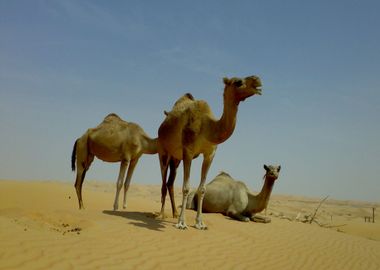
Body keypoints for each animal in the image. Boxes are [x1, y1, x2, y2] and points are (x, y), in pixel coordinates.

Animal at [157, 76, 262, 230]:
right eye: (238, 82)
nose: (258, 81)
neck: (207, 127)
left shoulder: (210, 154)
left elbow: (202, 189)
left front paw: (200, 223)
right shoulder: (188, 150)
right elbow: (186, 187)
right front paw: (182, 223)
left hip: (176, 159)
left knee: (170, 182)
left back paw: (174, 214)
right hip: (163, 152)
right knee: (164, 182)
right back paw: (161, 215)